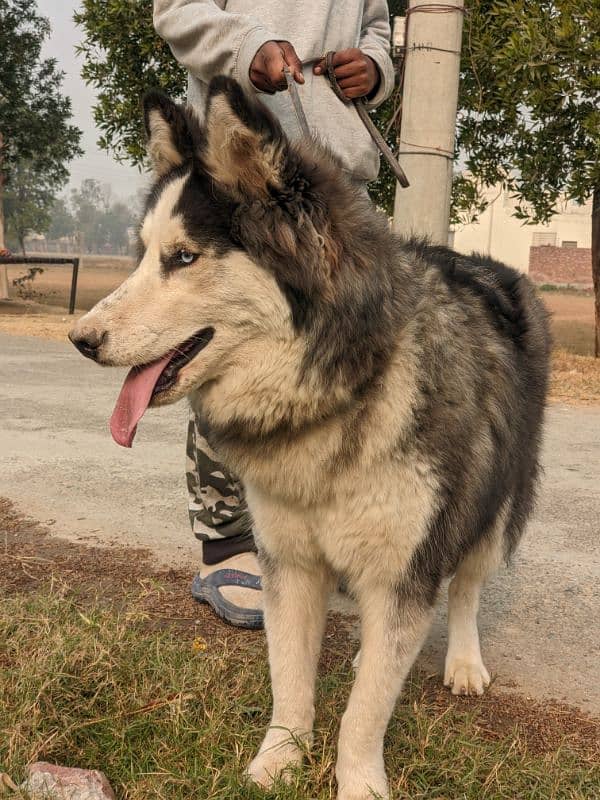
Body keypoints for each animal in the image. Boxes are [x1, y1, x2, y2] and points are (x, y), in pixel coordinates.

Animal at [69, 76, 548, 800]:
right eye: (145, 256)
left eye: (184, 258)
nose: (81, 339)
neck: (340, 390)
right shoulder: (288, 566)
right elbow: (290, 679)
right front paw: (277, 763)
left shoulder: (406, 566)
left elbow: (366, 711)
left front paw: (358, 783)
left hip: (492, 502)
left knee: (466, 584)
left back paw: (464, 660)